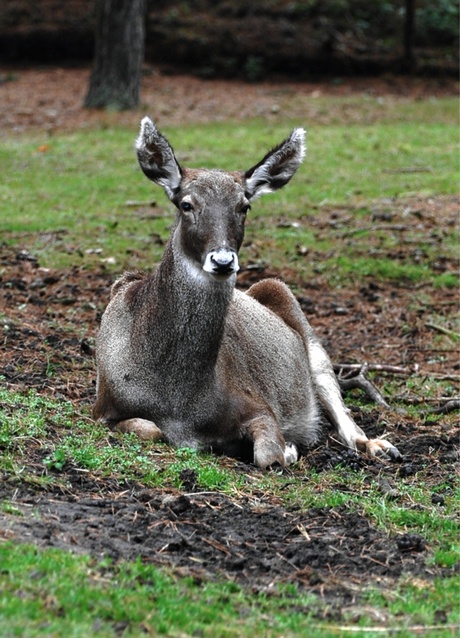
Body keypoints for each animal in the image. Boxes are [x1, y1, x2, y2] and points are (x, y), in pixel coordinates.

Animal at [91, 119, 400, 470]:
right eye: (186, 204)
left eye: (244, 206)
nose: (223, 261)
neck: (179, 402)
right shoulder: (103, 407)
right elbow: (150, 429)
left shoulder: (256, 402)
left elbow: (269, 455)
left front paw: (287, 448)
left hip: (296, 316)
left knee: (341, 410)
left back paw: (379, 446)